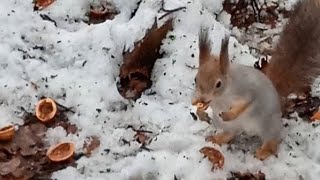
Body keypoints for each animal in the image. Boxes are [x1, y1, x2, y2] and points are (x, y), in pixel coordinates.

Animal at [192, 0, 320, 160]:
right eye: (195, 79)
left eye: (218, 84)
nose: (203, 98)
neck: (221, 98)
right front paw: (197, 106)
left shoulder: (246, 89)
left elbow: (245, 103)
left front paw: (229, 114)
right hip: (226, 125)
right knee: (229, 134)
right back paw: (216, 138)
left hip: (267, 124)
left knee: (272, 140)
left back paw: (263, 152)